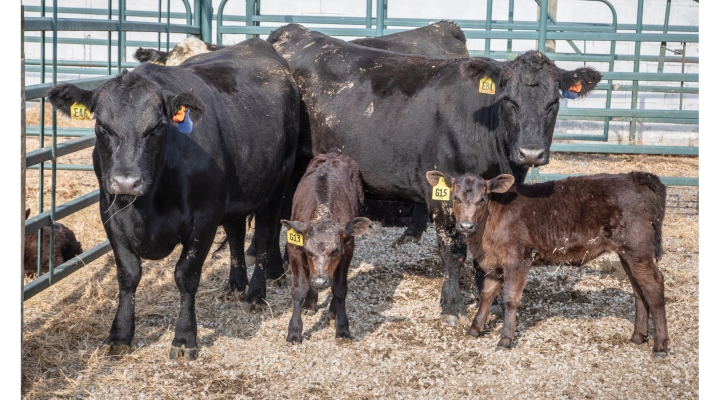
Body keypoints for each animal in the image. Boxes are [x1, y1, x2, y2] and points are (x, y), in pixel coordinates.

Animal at [45, 39, 300, 360]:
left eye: (156, 126)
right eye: (101, 125)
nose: (127, 181)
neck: (148, 206)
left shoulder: (205, 217)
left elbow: (185, 275)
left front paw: (184, 337)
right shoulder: (110, 213)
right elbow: (128, 274)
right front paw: (119, 335)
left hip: (279, 180)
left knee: (265, 235)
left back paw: (255, 294)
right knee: (236, 233)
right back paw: (235, 284)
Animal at [282, 148, 372, 342]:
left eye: (336, 250)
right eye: (307, 250)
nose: (320, 281)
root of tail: (334, 154)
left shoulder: (347, 249)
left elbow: (339, 289)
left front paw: (343, 328)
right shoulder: (294, 249)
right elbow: (299, 288)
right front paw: (294, 331)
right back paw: (311, 302)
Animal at [428, 170, 668, 358]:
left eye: (482, 199)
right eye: (456, 198)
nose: (466, 226)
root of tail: (634, 176)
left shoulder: (517, 260)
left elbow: (510, 299)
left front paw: (505, 339)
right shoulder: (494, 262)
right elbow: (487, 294)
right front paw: (475, 329)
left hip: (638, 248)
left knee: (654, 285)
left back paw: (660, 346)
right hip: (627, 253)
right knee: (639, 290)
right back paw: (638, 336)